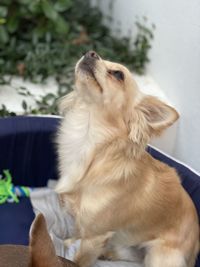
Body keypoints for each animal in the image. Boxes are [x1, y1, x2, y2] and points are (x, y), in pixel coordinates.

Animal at [55, 50, 199, 267]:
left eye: (118, 74)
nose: (91, 53)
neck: (86, 138)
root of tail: (195, 249)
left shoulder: (95, 235)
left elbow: (81, 259)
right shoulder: (84, 225)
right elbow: (78, 233)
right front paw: (69, 242)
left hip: (160, 256)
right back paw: (109, 252)